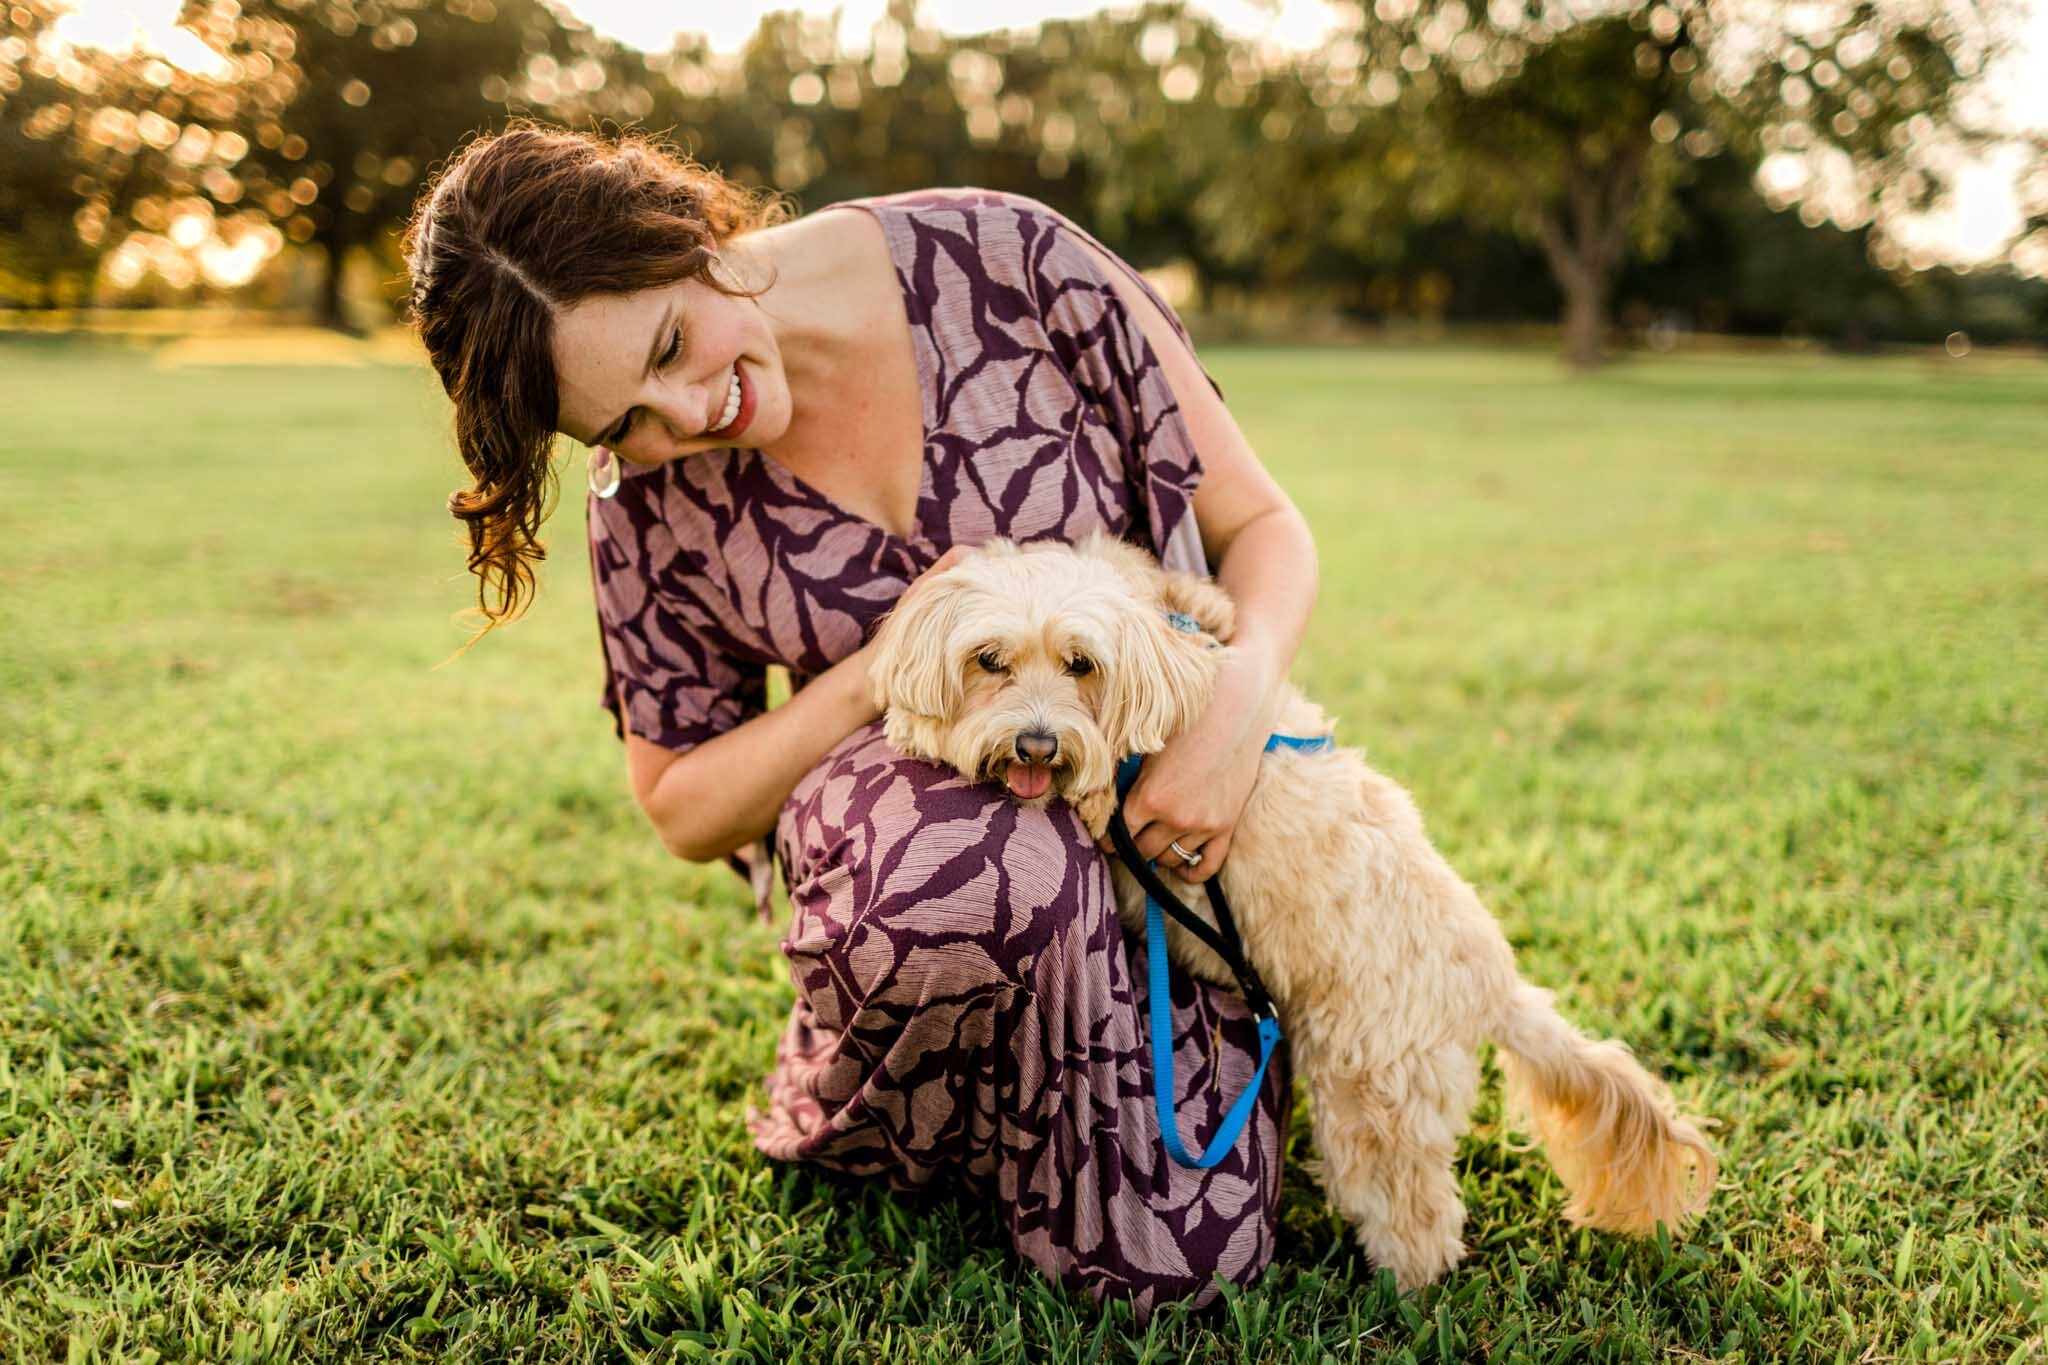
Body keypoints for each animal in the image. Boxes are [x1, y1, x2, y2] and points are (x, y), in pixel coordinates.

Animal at [872, 532, 1720, 1293]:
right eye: (989, 660)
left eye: (1081, 664)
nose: (1037, 744)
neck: (1166, 657)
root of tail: (1494, 986)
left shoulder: (1116, 780)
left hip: (1374, 1095)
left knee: (1417, 1214)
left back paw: (1404, 1294)